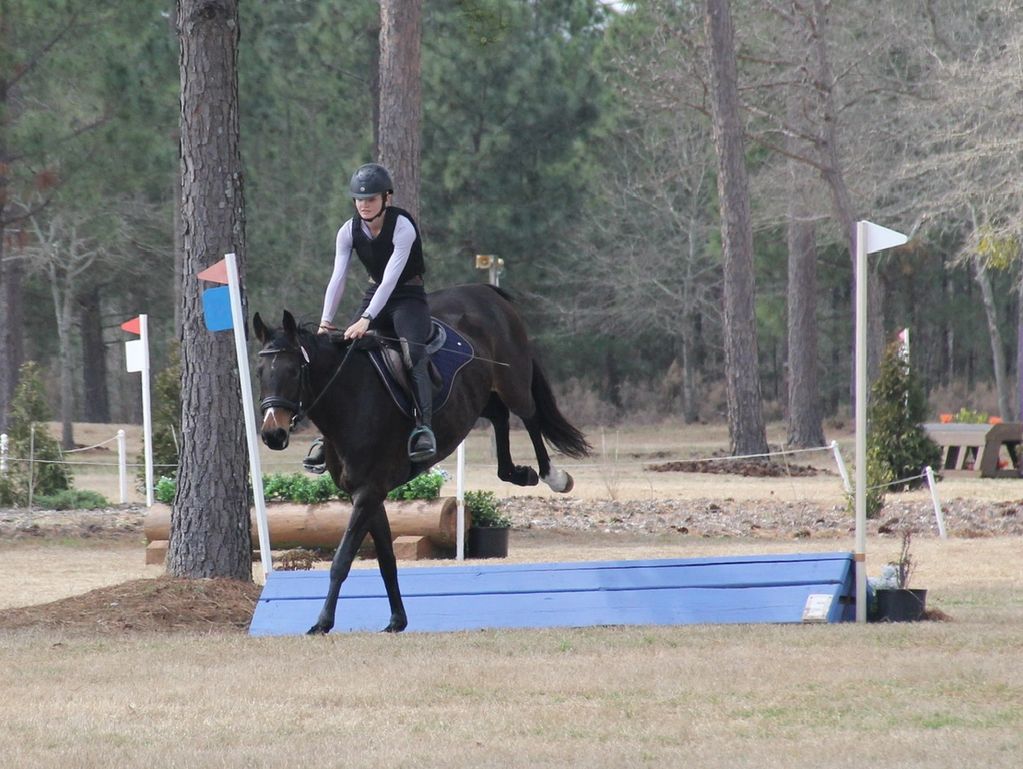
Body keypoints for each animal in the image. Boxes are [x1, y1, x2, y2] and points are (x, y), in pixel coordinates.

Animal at [252, 283, 591, 634]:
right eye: (259, 372)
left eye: (294, 371)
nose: (273, 435)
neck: (351, 400)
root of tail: (484, 291)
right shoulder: (367, 495)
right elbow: (387, 560)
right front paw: (397, 620)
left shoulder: (369, 492)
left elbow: (342, 559)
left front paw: (322, 622)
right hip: (478, 397)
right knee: (499, 416)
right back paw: (518, 472)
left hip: (513, 382)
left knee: (530, 416)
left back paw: (554, 476)